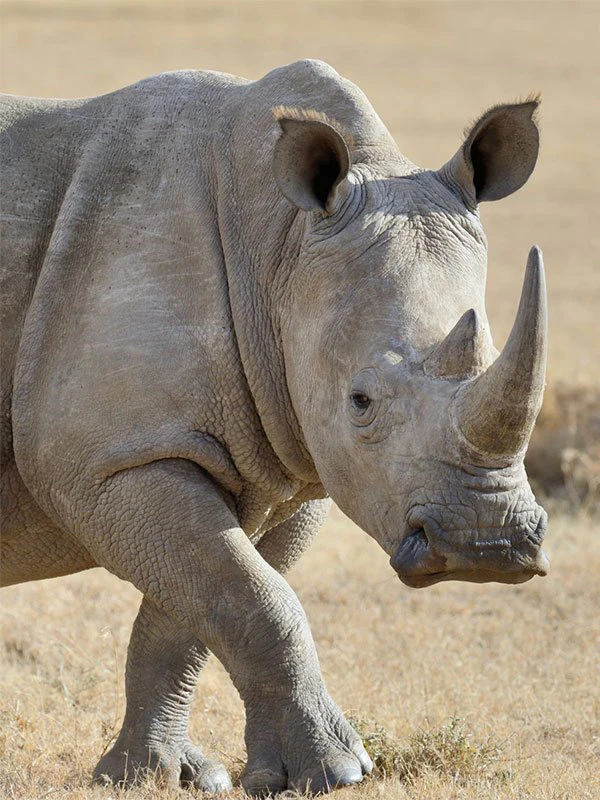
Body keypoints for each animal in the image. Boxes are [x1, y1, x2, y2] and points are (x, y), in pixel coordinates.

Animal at [1, 59, 549, 795]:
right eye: (360, 401)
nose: (486, 547)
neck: (277, 247)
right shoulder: (111, 459)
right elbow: (255, 599)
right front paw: (337, 771)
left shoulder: (287, 465)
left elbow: (200, 608)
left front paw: (158, 775)